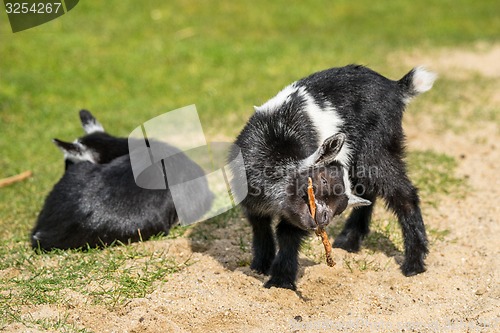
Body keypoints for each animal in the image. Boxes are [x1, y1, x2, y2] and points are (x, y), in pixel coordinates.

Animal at [232, 65, 436, 288]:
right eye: (322, 179)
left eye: (339, 209)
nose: (324, 217)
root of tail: (395, 87)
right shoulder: (250, 195)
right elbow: (259, 225)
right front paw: (260, 265)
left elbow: (288, 234)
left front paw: (280, 280)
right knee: (369, 190)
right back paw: (349, 241)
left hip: (377, 147)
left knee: (403, 194)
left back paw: (414, 262)